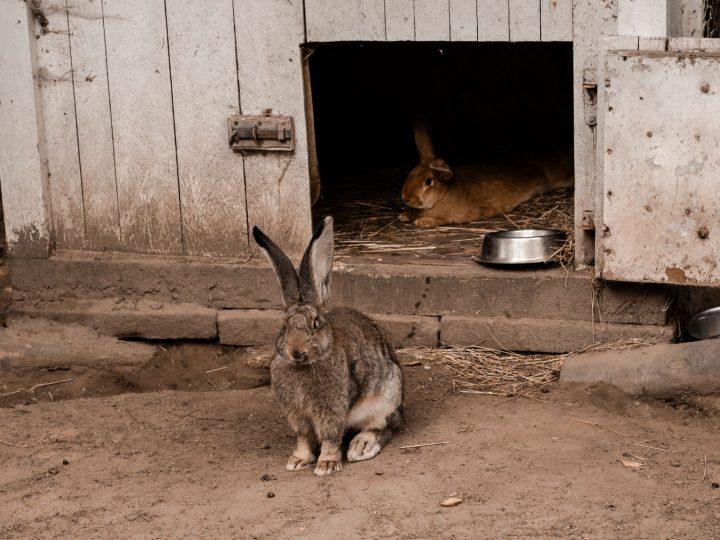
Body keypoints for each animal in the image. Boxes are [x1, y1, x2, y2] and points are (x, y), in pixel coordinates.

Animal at [252, 216, 404, 476]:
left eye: (316, 323)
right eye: (284, 326)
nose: (295, 351)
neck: (307, 365)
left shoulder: (331, 412)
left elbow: (331, 437)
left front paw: (327, 465)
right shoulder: (298, 416)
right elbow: (303, 438)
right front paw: (298, 460)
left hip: (386, 398)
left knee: (384, 428)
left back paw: (361, 446)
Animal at [399, 119, 575, 228]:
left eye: (428, 181)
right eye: (410, 174)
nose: (406, 198)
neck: (443, 195)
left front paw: (423, 222)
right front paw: (404, 215)